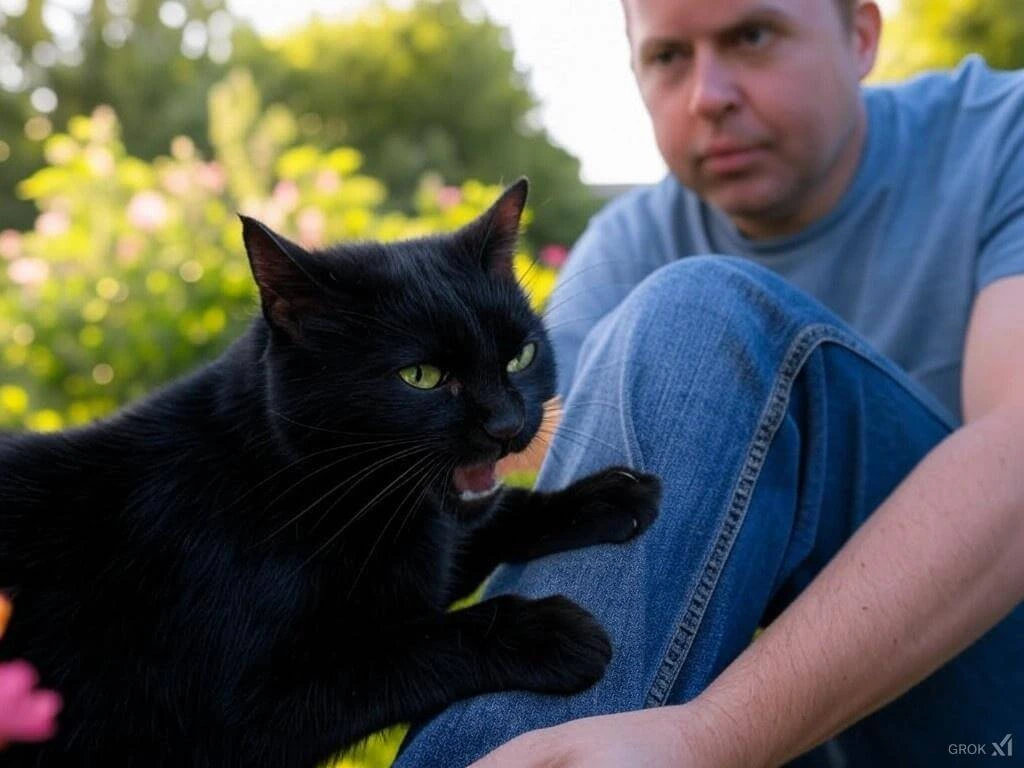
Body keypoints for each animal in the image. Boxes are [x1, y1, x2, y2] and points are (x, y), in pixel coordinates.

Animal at [0, 180, 659, 768]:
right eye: (420, 377)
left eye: (519, 357)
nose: (507, 423)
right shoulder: (233, 719)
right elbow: (403, 649)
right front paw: (542, 629)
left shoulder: (413, 568)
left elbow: (485, 529)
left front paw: (605, 496)